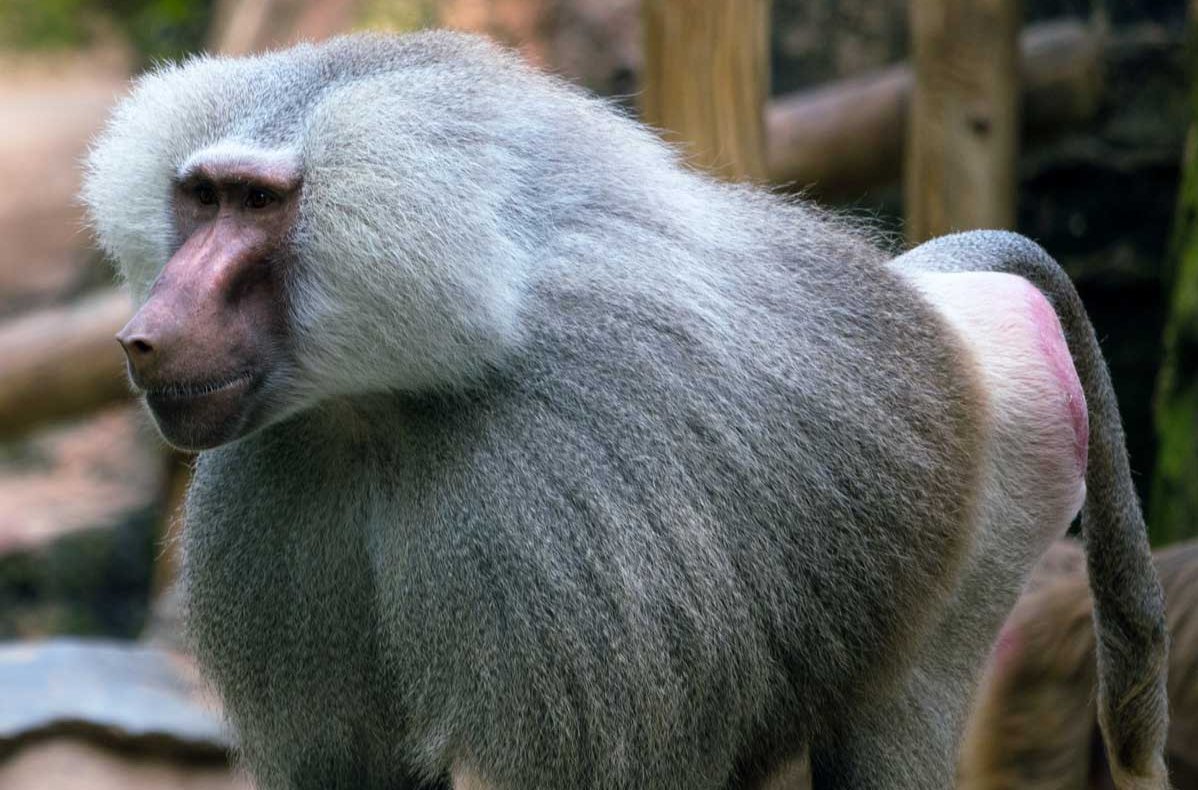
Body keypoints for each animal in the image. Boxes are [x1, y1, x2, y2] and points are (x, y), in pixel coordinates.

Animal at [80, 31, 1169, 790]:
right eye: (201, 197)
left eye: (258, 204)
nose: (146, 336)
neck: (379, 408)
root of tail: (934, 289)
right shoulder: (277, 494)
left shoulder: (557, 502)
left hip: (995, 504)